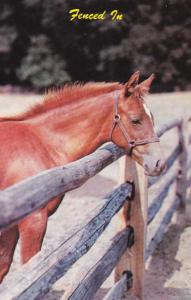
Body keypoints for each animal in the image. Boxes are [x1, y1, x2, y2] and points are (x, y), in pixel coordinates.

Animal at [0, 71, 165, 282]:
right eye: (136, 120)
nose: (159, 163)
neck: (42, 144)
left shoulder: (12, 227)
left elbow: (3, 266)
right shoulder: (33, 222)